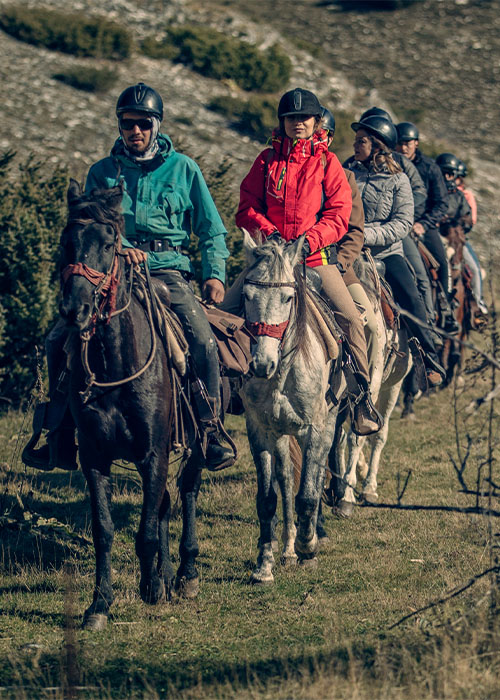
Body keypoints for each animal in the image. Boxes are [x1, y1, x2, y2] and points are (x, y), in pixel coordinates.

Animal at [60, 180, 203, 628]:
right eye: (67, 242)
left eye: (109, 244)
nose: (75, 310)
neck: (115, 364)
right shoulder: (94, 456)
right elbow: (104, 530)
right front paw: (99, 604)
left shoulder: (153, 453)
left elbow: (145, 530)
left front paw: (151, 588)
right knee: (164, 506)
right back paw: (168, 574)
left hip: (196, 446)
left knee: (186, 494)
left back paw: (186, 574)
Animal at [241, 232, 344, 584]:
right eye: (247, 295)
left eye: (287, 298)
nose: (261, 365)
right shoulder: (260, 430)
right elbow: (267, 499)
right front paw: (264, 565)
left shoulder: (313, 429)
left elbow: (308, 494)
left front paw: (307, 546)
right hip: (282, 434)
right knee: (286, 482)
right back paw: (286, 549)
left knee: (315, 475)